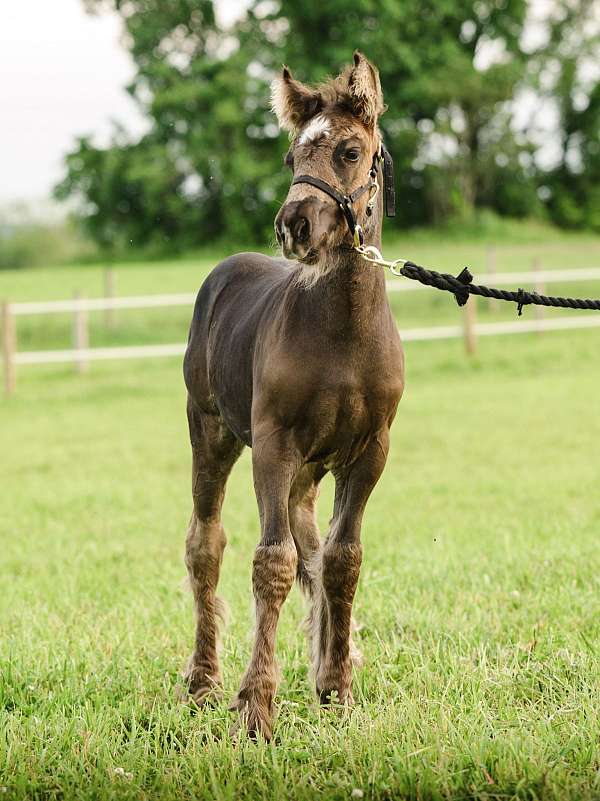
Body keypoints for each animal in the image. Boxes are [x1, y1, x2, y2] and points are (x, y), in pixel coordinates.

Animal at [182, 52, 404, 740]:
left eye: (351, 151)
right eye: (291, 157)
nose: (294, 225)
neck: (342, 337)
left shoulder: (370, 453)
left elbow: (341, 560)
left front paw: (336, 686)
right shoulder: (273, 448)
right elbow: (271, 564)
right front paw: (256, 704)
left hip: (310, 470)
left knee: (313, 547)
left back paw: (339, 655)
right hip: (213, 435)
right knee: (207, 544)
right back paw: (203, 681)